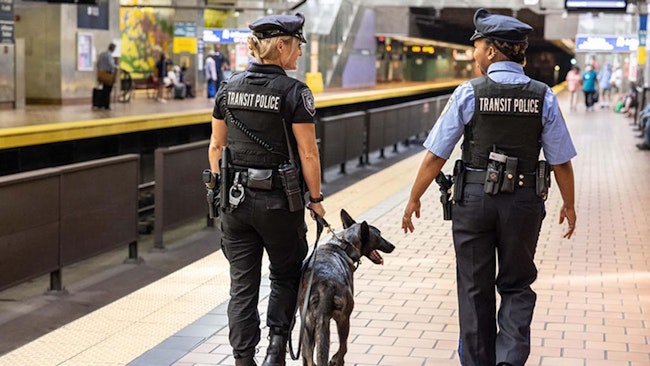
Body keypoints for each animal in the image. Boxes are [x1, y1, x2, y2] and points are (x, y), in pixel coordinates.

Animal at [296, 209, 392, 366]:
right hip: (343, 318)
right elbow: (344, 345)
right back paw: (337, 359)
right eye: (379, 235)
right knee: (343, 346)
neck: (344, 245)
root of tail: (324, 286)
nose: (393, 246)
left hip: (308, 325)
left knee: (308, 357)